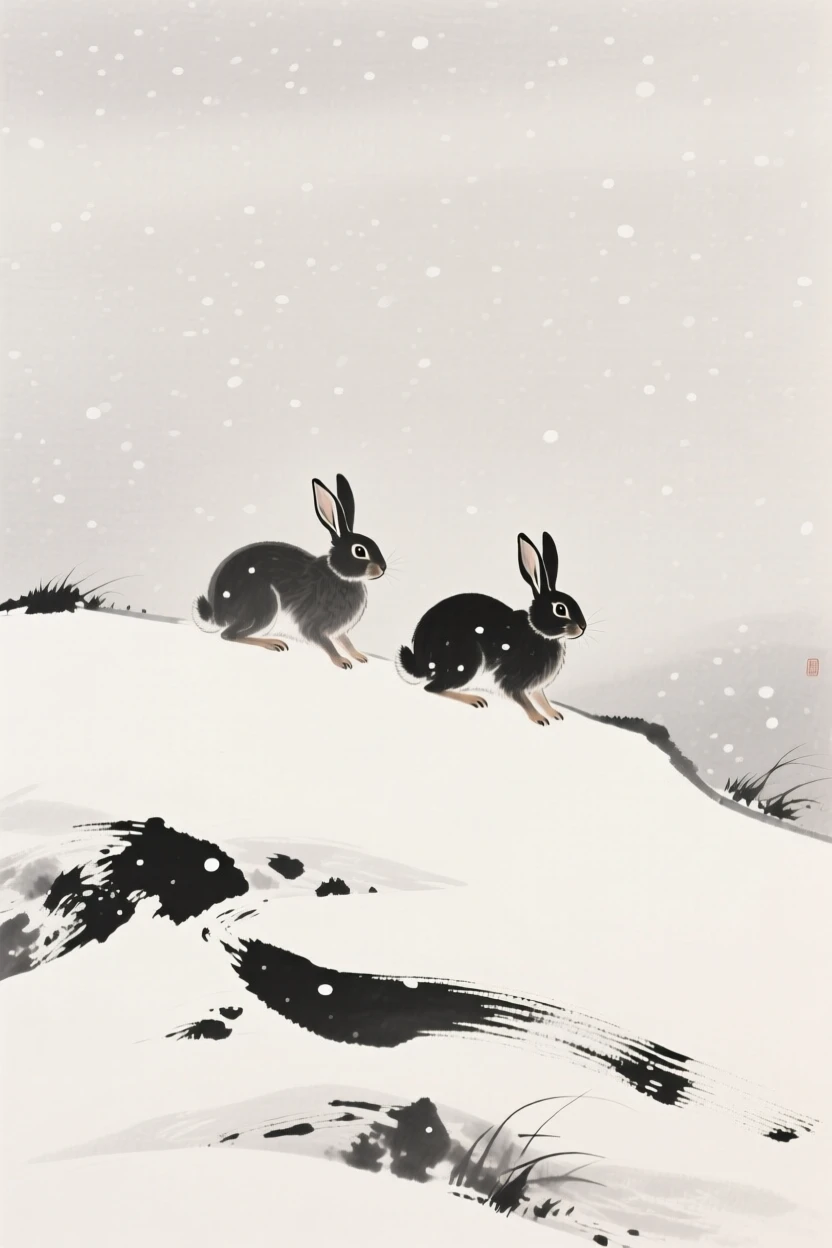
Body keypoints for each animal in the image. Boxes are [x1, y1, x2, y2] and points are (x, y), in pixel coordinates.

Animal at [194, 474, 386, 669]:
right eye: (359, 551)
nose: (383, 568)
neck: (340, 575)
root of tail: (218, 614)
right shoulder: (313, 624)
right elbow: (326, 643)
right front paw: (341, 661)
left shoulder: (338, 630)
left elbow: (345, 641)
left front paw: (359, 656)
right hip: (263, 605)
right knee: (229, 634)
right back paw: (273, 643)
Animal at [397, 531, 585, 726]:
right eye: (560, 609)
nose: (583, 627)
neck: (540, 633)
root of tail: (421, 663)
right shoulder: (511, 679)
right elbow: (523, 700)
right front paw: (538, 718)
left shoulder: (536, 686)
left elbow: (541, 698)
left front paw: (554, 714)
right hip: (466, 661)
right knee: (432, 688)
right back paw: (475, 699)